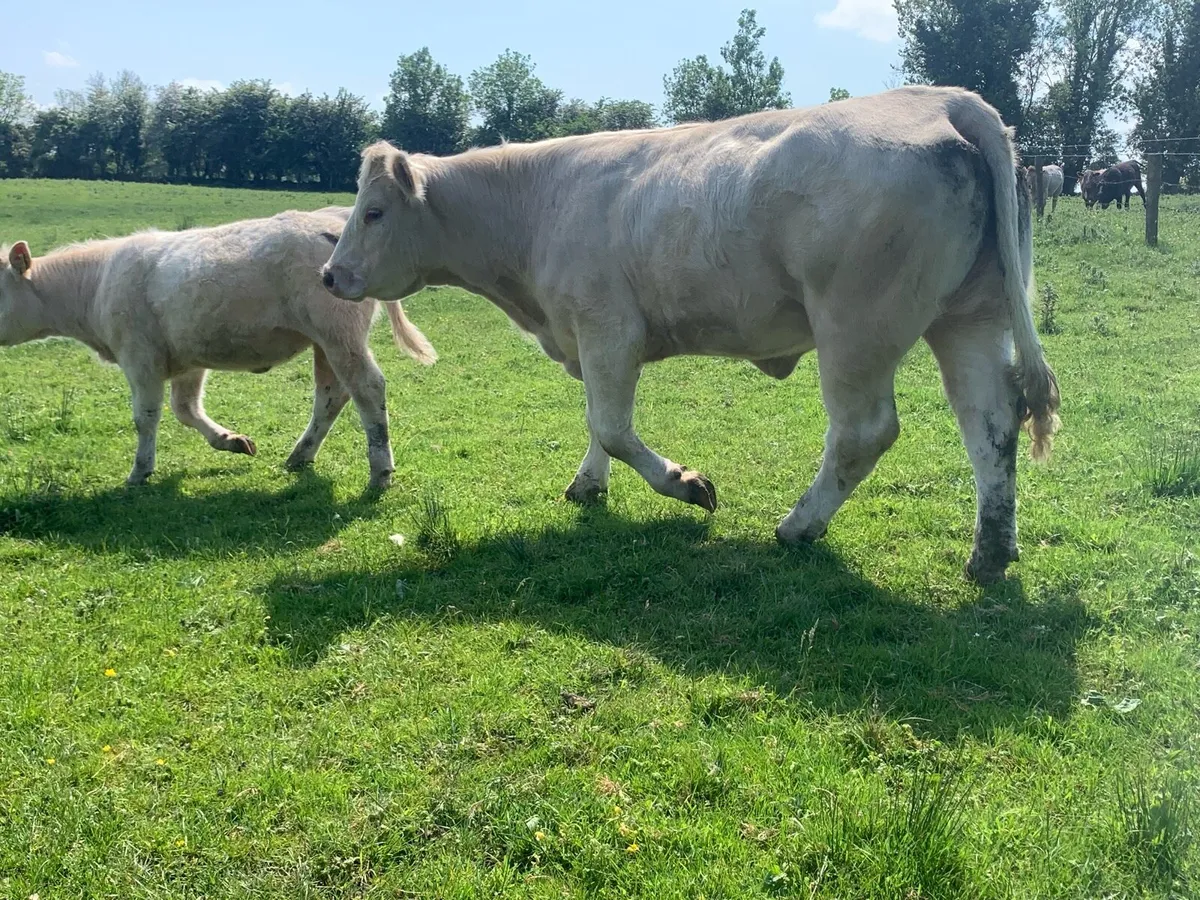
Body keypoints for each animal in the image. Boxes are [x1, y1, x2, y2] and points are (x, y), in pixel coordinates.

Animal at [0, 209, 436, 490]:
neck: (96, 284)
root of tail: (336, 223)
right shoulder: (187, 360)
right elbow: (185, 408)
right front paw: (231, 440)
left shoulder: (139, 357)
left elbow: (146, 417)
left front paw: (139, 471)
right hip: (325, 342)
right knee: (332, 396)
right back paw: (300, 454)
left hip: (338, 334)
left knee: (367, 389)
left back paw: (380, 471)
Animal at [322, 85, 1061, 584]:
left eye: (375, 211)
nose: (330, 275)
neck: (536, 205)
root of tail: (939, 99)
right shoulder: (590, 336)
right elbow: (597, 423)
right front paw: (587, 485)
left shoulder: (608, 326)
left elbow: (613, 426)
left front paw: (686, 483)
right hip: (969, 317)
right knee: (991, 424)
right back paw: (991, 552)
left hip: (856, 326)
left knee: (864, 433)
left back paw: (799, 525)